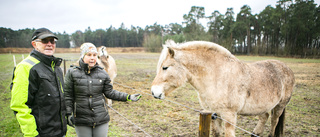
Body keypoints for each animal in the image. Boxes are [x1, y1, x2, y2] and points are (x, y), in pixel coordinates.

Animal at [151, 40, 296, 136]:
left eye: (165, 67)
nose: (153, 92)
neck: (217, 77)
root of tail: (287, 68)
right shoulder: (214, 114)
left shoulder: (229, 116)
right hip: (263, 106)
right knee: (264, 116)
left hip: (280, 106)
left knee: (274, 121)